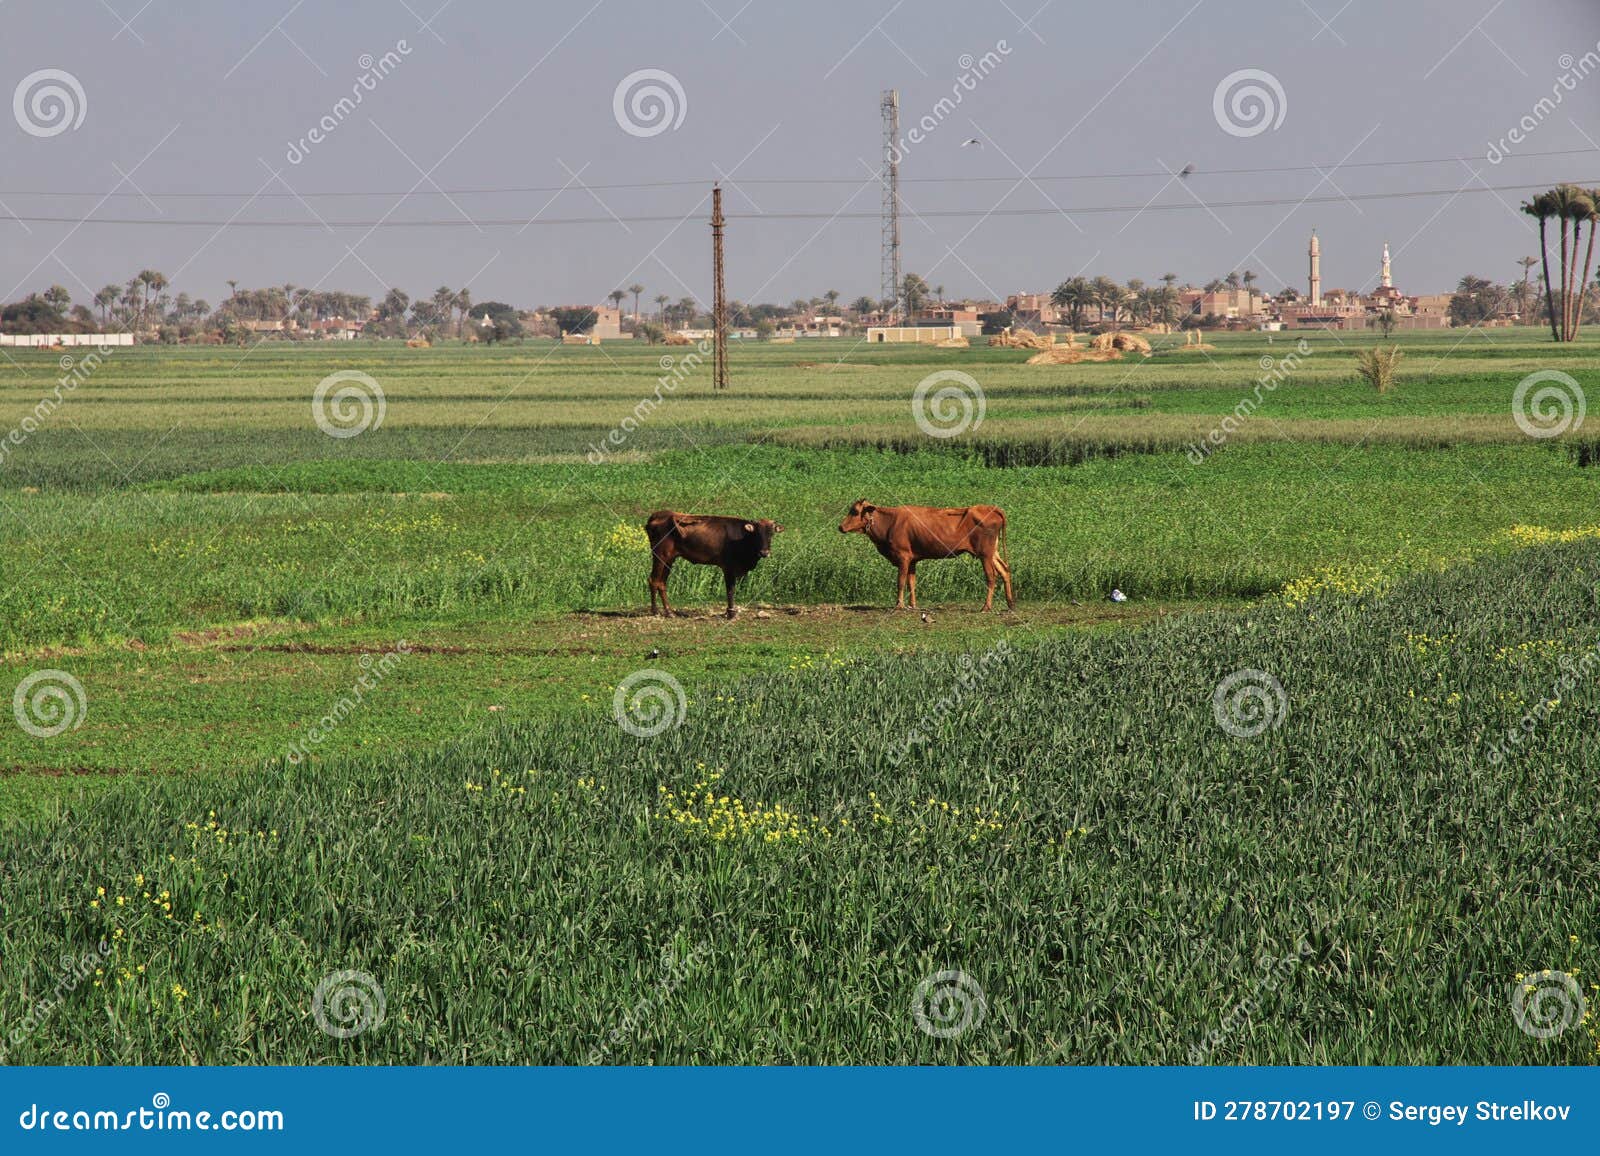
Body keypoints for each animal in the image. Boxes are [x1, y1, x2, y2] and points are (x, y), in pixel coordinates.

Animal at [645, 511, 783, 619]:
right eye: (757, 533)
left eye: (771, 533)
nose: (764, 552)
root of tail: (657, 514)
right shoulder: (728, 568)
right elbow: (730, 591)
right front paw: (731, 614)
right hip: (660, 556)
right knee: (654, 580)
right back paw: (655, 611)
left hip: (669, 560)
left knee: (662, 583)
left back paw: (669, 612)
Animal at [838, 500, 1014, 611]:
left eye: (854, 511)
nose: (840, 527)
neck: (890, 523)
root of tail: (990, 508)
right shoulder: (912, 560)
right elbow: (911, 583)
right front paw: (912, 605)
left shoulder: (903, 557)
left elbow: (900, 582)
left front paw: (899, 605)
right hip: (993, 552)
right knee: (1004, 570)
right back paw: (1010, 604)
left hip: (985, 554)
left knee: (991, 577)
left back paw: (986, 607)